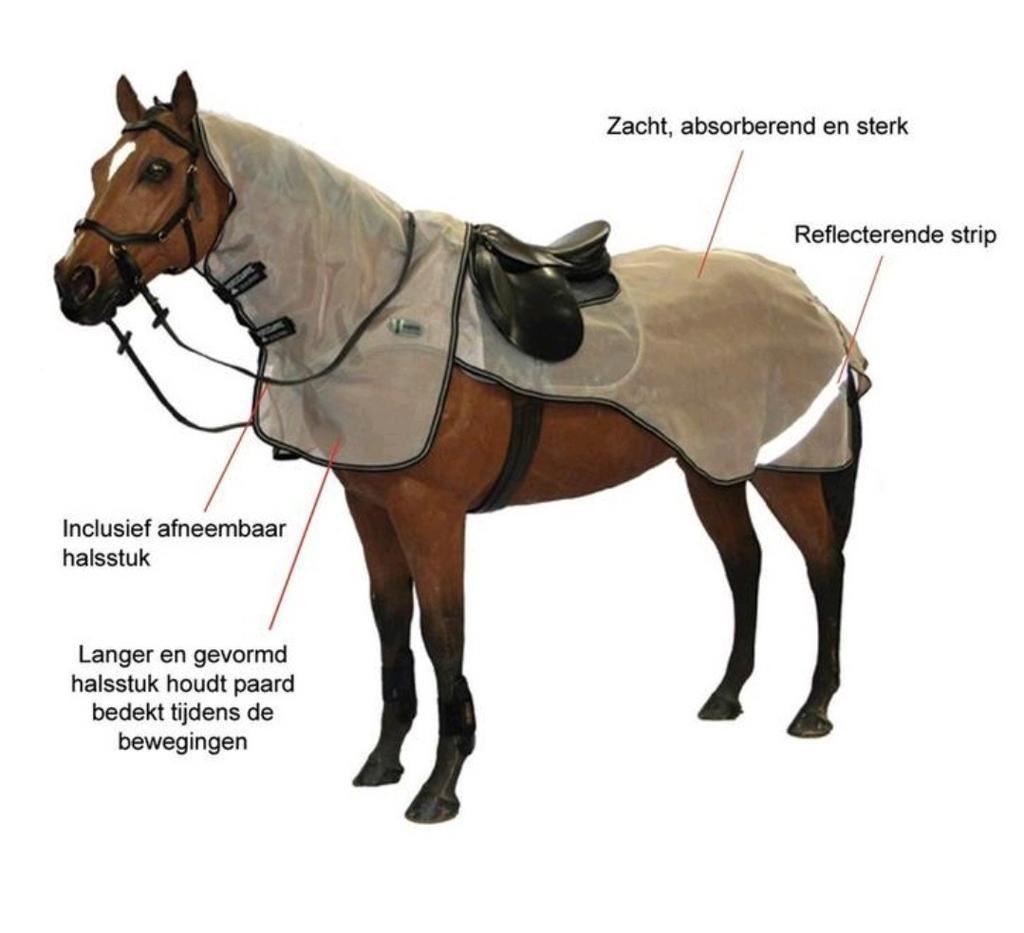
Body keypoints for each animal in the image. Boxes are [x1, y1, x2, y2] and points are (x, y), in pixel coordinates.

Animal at [54, 72, 867, 823]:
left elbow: (444, 631)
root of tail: (809, 297)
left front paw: (440, 785)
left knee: (823, 565)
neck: (368, 303)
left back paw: (814, 708)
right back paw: (727, 695)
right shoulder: (370, 504)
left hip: (786, 469)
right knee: (744, 565)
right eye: (99, 167)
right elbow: (390, 623)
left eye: (157, 169)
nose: (74, 281)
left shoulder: (431, 512)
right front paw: (383, 761)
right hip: (713, 467)